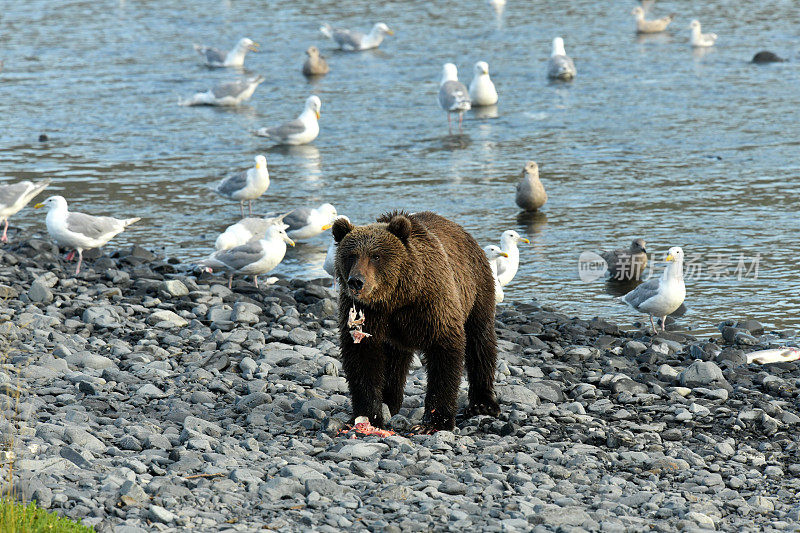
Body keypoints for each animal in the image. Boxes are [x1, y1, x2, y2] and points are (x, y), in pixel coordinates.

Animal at [332, 209, 500, 432]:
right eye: (351, 255)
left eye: (376, 256)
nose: (356, 281)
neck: (396, 298)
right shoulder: (368, 314)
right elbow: (362, 359)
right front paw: (367, 416)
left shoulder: (432, 303)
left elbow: (444, 351)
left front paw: (435, 422)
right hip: (396, 337)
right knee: (394, 361)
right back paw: (390, 401)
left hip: (476, 288)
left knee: (480, 341)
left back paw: (483, 403)